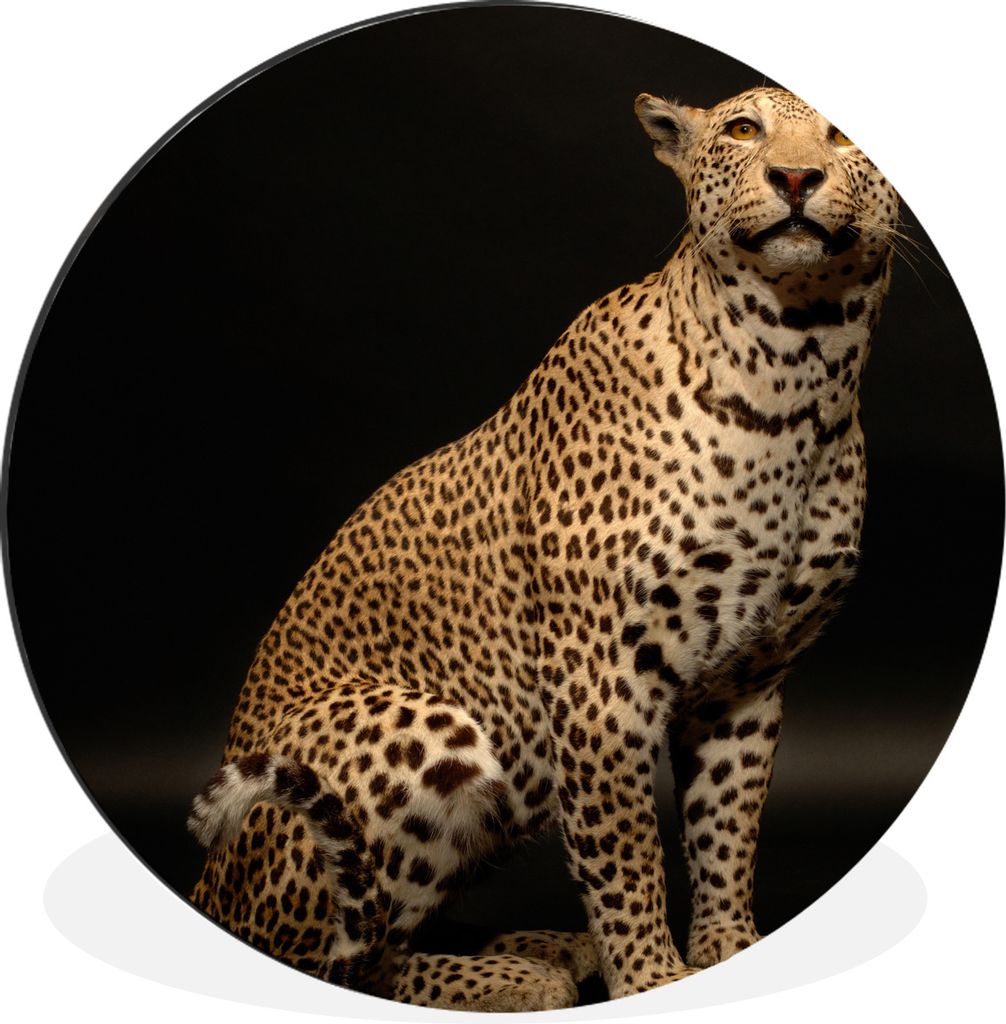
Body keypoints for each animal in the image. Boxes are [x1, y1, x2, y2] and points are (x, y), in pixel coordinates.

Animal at [188, 85, 899, 1010]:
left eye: (843, 136)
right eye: (746, 130)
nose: (797, 177)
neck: (801, 370)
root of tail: (206, 886)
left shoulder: (748, 683)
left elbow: (725, 833)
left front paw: (728, 951)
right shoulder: (600, 679)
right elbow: (625, 851)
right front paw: (650, 978)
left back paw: (543, 948)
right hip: (421, 729)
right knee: (343, 960)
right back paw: (524, 976)